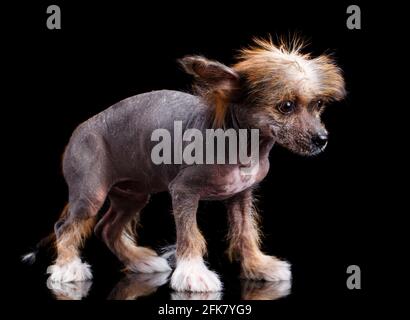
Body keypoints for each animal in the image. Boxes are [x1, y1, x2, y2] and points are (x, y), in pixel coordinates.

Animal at [24, 37, 344, 292]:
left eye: (317, 105)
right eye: (286, 106)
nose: (322, 139)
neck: (245, 144)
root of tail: (78, 131)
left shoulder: (241, 196)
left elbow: (245, 233)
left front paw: (258, 265)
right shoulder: (183, 191)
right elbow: (190, 236)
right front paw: (193, 274)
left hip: (133, 195)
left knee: (107, 229)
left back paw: (140, 261)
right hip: (91, 195)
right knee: (65, 227)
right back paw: (67, 268)